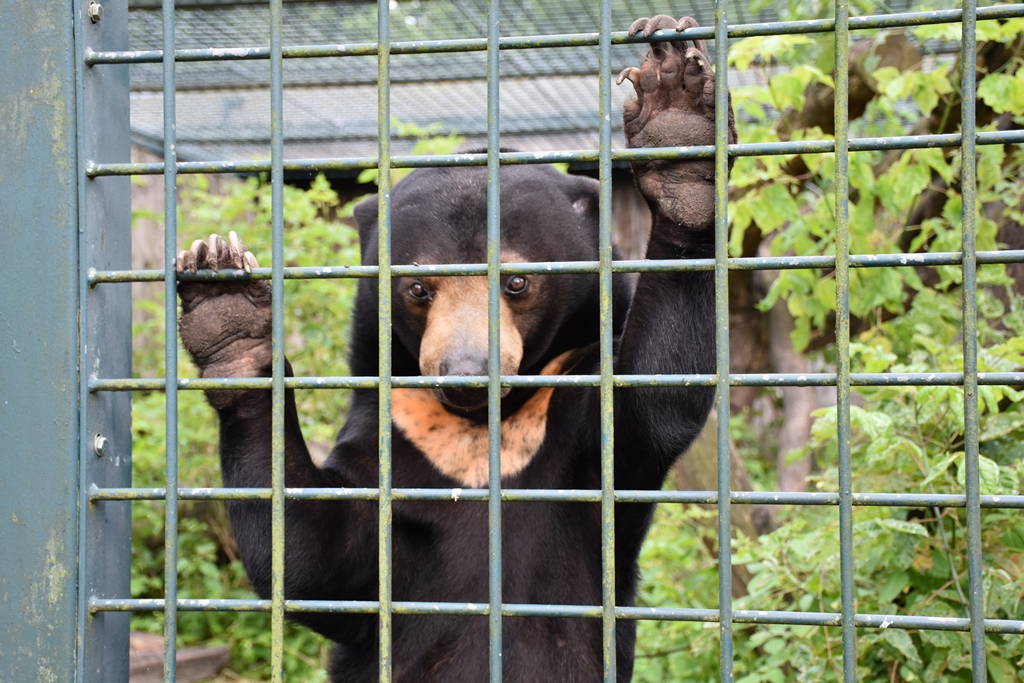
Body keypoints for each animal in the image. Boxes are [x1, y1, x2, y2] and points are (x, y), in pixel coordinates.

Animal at [174, 15, 736, 683]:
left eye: (517, 282)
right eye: (417, 287)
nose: (465, 373)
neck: (480, 431)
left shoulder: (583, 428)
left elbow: (657, 393)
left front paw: (678, 121)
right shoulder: (391, 427)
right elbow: (318, 559)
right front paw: (227, 310)